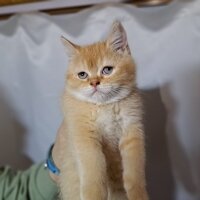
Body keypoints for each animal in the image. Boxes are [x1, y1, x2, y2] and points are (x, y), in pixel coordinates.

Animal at [58, 21, 148, 199]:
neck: (105, 106)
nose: (94, 83)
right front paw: (93, 195)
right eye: (82, 75)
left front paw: (138, 193)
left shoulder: (132, 132)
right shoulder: (84, 138)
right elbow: (93, 171)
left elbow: (134, 173)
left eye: (107, 70)